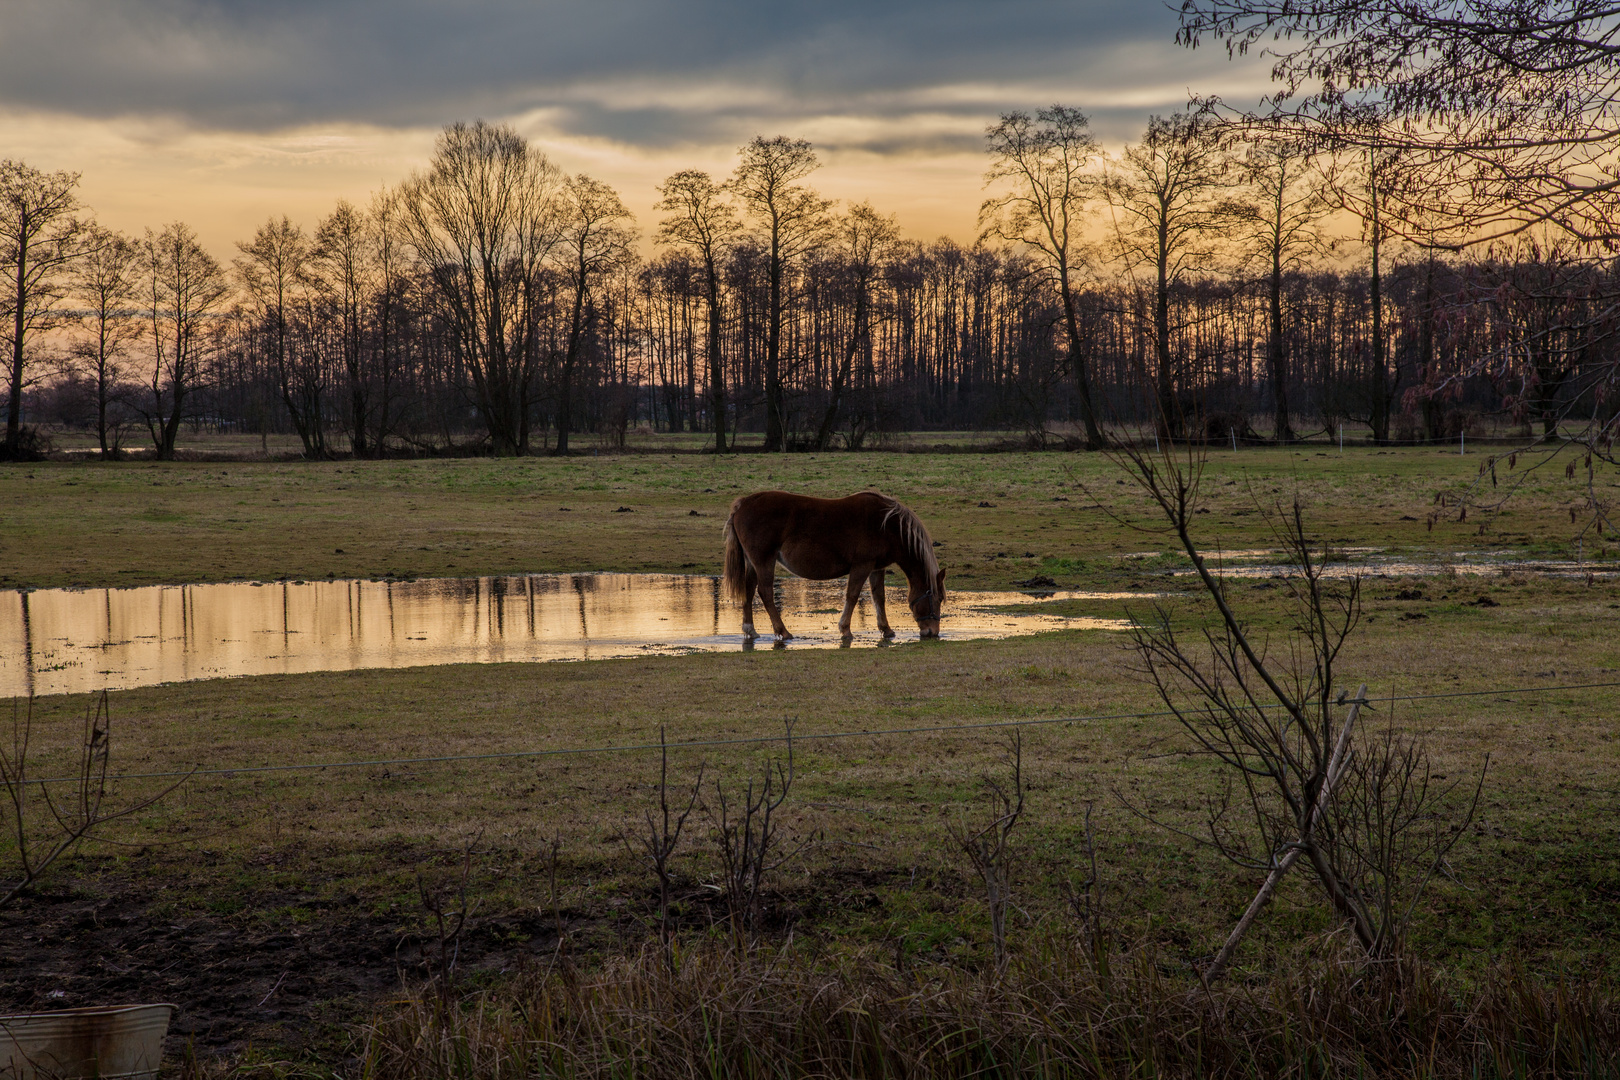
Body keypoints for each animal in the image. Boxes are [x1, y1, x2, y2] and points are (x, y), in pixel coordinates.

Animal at [725, 492, 946, 641]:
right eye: (938, 599)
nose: (932, 632)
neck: (887, 525)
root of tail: (743, 504)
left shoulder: (876, 568)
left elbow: (879, 597)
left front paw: (886, 629)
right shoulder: (862, 565)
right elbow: (852, 595)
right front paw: (845, 629)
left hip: (753, 563)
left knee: (749, 591)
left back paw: (750, 630)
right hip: (764, 561)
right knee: (766, 593)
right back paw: (783, 631)